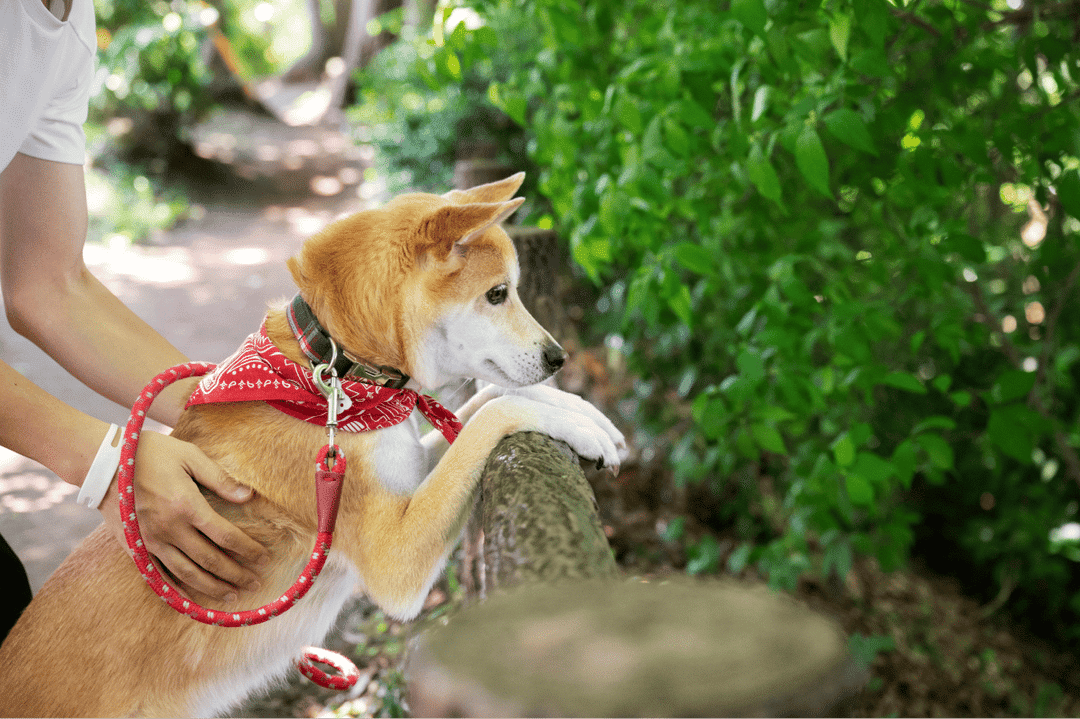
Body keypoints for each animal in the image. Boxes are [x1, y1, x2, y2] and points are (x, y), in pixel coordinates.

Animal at [0, 170, 626, 712]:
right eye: (498, 295)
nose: (558, 357)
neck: (333, 377)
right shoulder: (395, 558)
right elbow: (491, 414)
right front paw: (575, 422)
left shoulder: (406, 469)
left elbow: (478, 407)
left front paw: (583, 412)